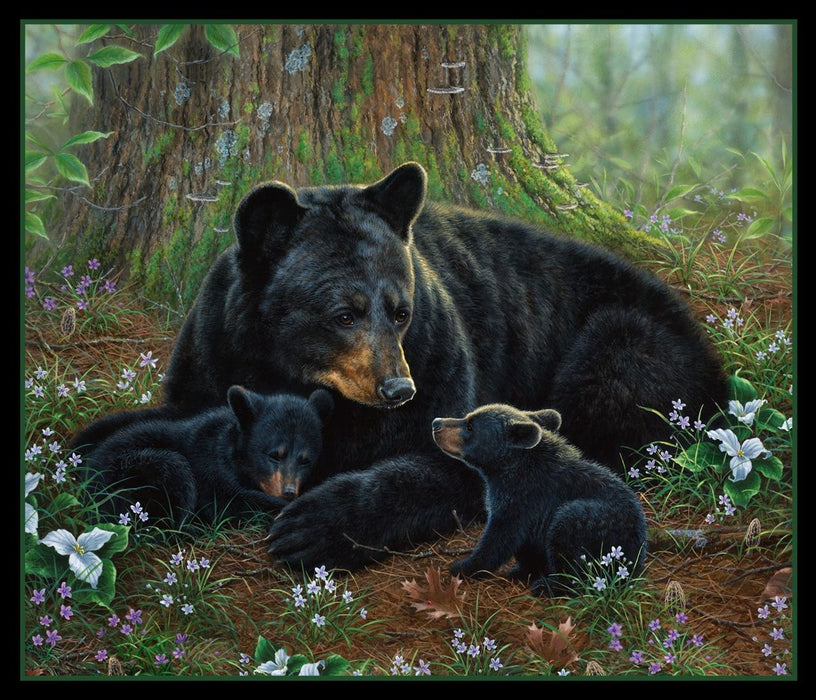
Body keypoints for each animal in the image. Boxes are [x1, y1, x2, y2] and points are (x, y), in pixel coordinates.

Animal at [80, 387, 333, 528]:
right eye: (274, 455)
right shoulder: (210, 469)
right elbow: (230, 504)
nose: (289, 491)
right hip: (134, 469)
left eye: (306, 460)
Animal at [432, 403, 648, 596]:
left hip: (590, 521)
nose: (436, 422)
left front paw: (465, 566)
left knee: (568, 541)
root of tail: (634, 557)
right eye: (467, 418)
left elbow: (500, 538)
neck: (509, 469)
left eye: (470, 426)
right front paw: (523, 570)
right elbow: (526, 544)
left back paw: (549, 586)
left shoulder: (521, 498)